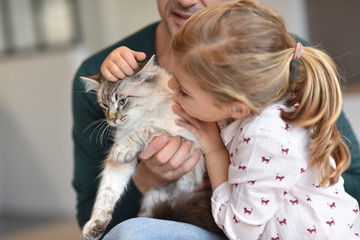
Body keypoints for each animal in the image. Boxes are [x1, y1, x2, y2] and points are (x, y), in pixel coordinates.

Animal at [80, 56, 224, 240]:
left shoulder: (189, 139)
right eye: (104, 105)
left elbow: (148, 127)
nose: (111, 120)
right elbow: (106, 192)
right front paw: (95, 225)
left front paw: (122, 149)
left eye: (122, 101)